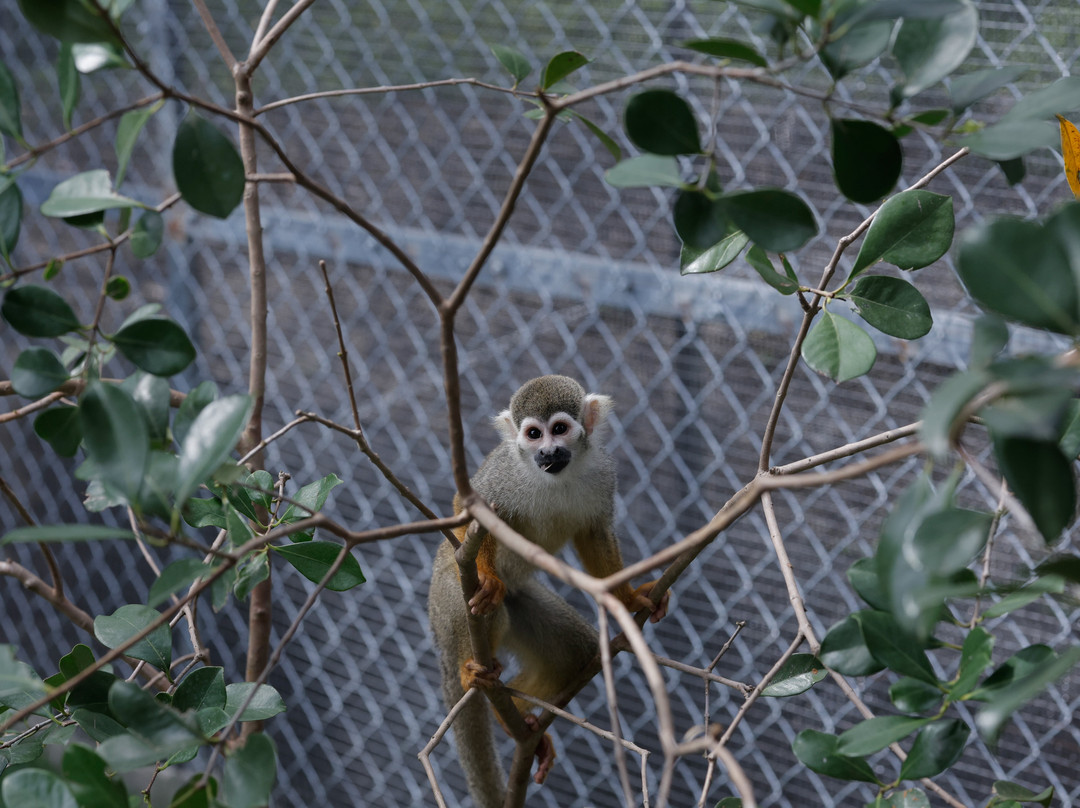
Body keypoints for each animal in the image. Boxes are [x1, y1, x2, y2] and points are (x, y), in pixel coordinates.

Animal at [428, 375, 669, 808]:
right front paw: (486, 575)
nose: (548, 451)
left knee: (573, 648)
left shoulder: (603, 471)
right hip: (447, 594)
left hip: (520, 597)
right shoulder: (505, 472)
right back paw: (471, 668)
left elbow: (594, 533)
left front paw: (627, 599)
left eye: (559, 429)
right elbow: (470, 509)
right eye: (533, 434)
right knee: (482, 611)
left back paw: (518, 721)